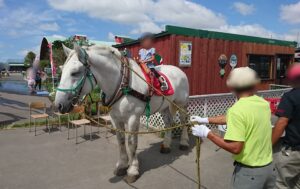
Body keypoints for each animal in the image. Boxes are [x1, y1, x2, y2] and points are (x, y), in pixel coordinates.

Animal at [54, 44, 190, 183]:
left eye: (75, 72)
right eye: (62, 71)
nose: (59, 105)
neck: (122, 83)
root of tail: (179, 70)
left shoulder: (133, 118)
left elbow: (131, 144)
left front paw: (132, 170)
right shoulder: (115, 118)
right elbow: (120, 141)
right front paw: (122, 165)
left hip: (181, 104)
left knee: (185, 121)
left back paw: (184, 143)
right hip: (165, 106)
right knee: (168, 123)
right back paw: (166, 146)